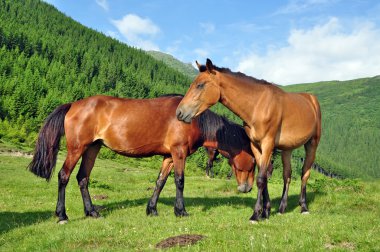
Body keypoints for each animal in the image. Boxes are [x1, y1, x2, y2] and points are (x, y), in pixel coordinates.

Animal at [29, 94, 255, 222]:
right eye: (253, 161)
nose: (247, 188)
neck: (191, 120)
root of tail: (73, 105)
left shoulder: (168, 157)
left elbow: (160, 182)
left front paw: (152, 209)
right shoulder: (178, 153)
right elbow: (179, 181)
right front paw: (180, 211)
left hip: (92, 148)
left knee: (82, 178)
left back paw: (92, 212)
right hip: (77, 148)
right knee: (64, 176)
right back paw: (61, 215)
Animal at [177, 59, 322, 222]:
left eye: (200, 85)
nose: (179, 112)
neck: (258, 106)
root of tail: (312, 100)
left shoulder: (267, 144)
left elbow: (261, 179)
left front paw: (255, 214)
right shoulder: (255, 146)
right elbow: (264, 178)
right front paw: (265, 212)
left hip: (312, 144)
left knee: (305, 174)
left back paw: (303, 207)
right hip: (287, 149)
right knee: (287, 175)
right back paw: (282, 208)